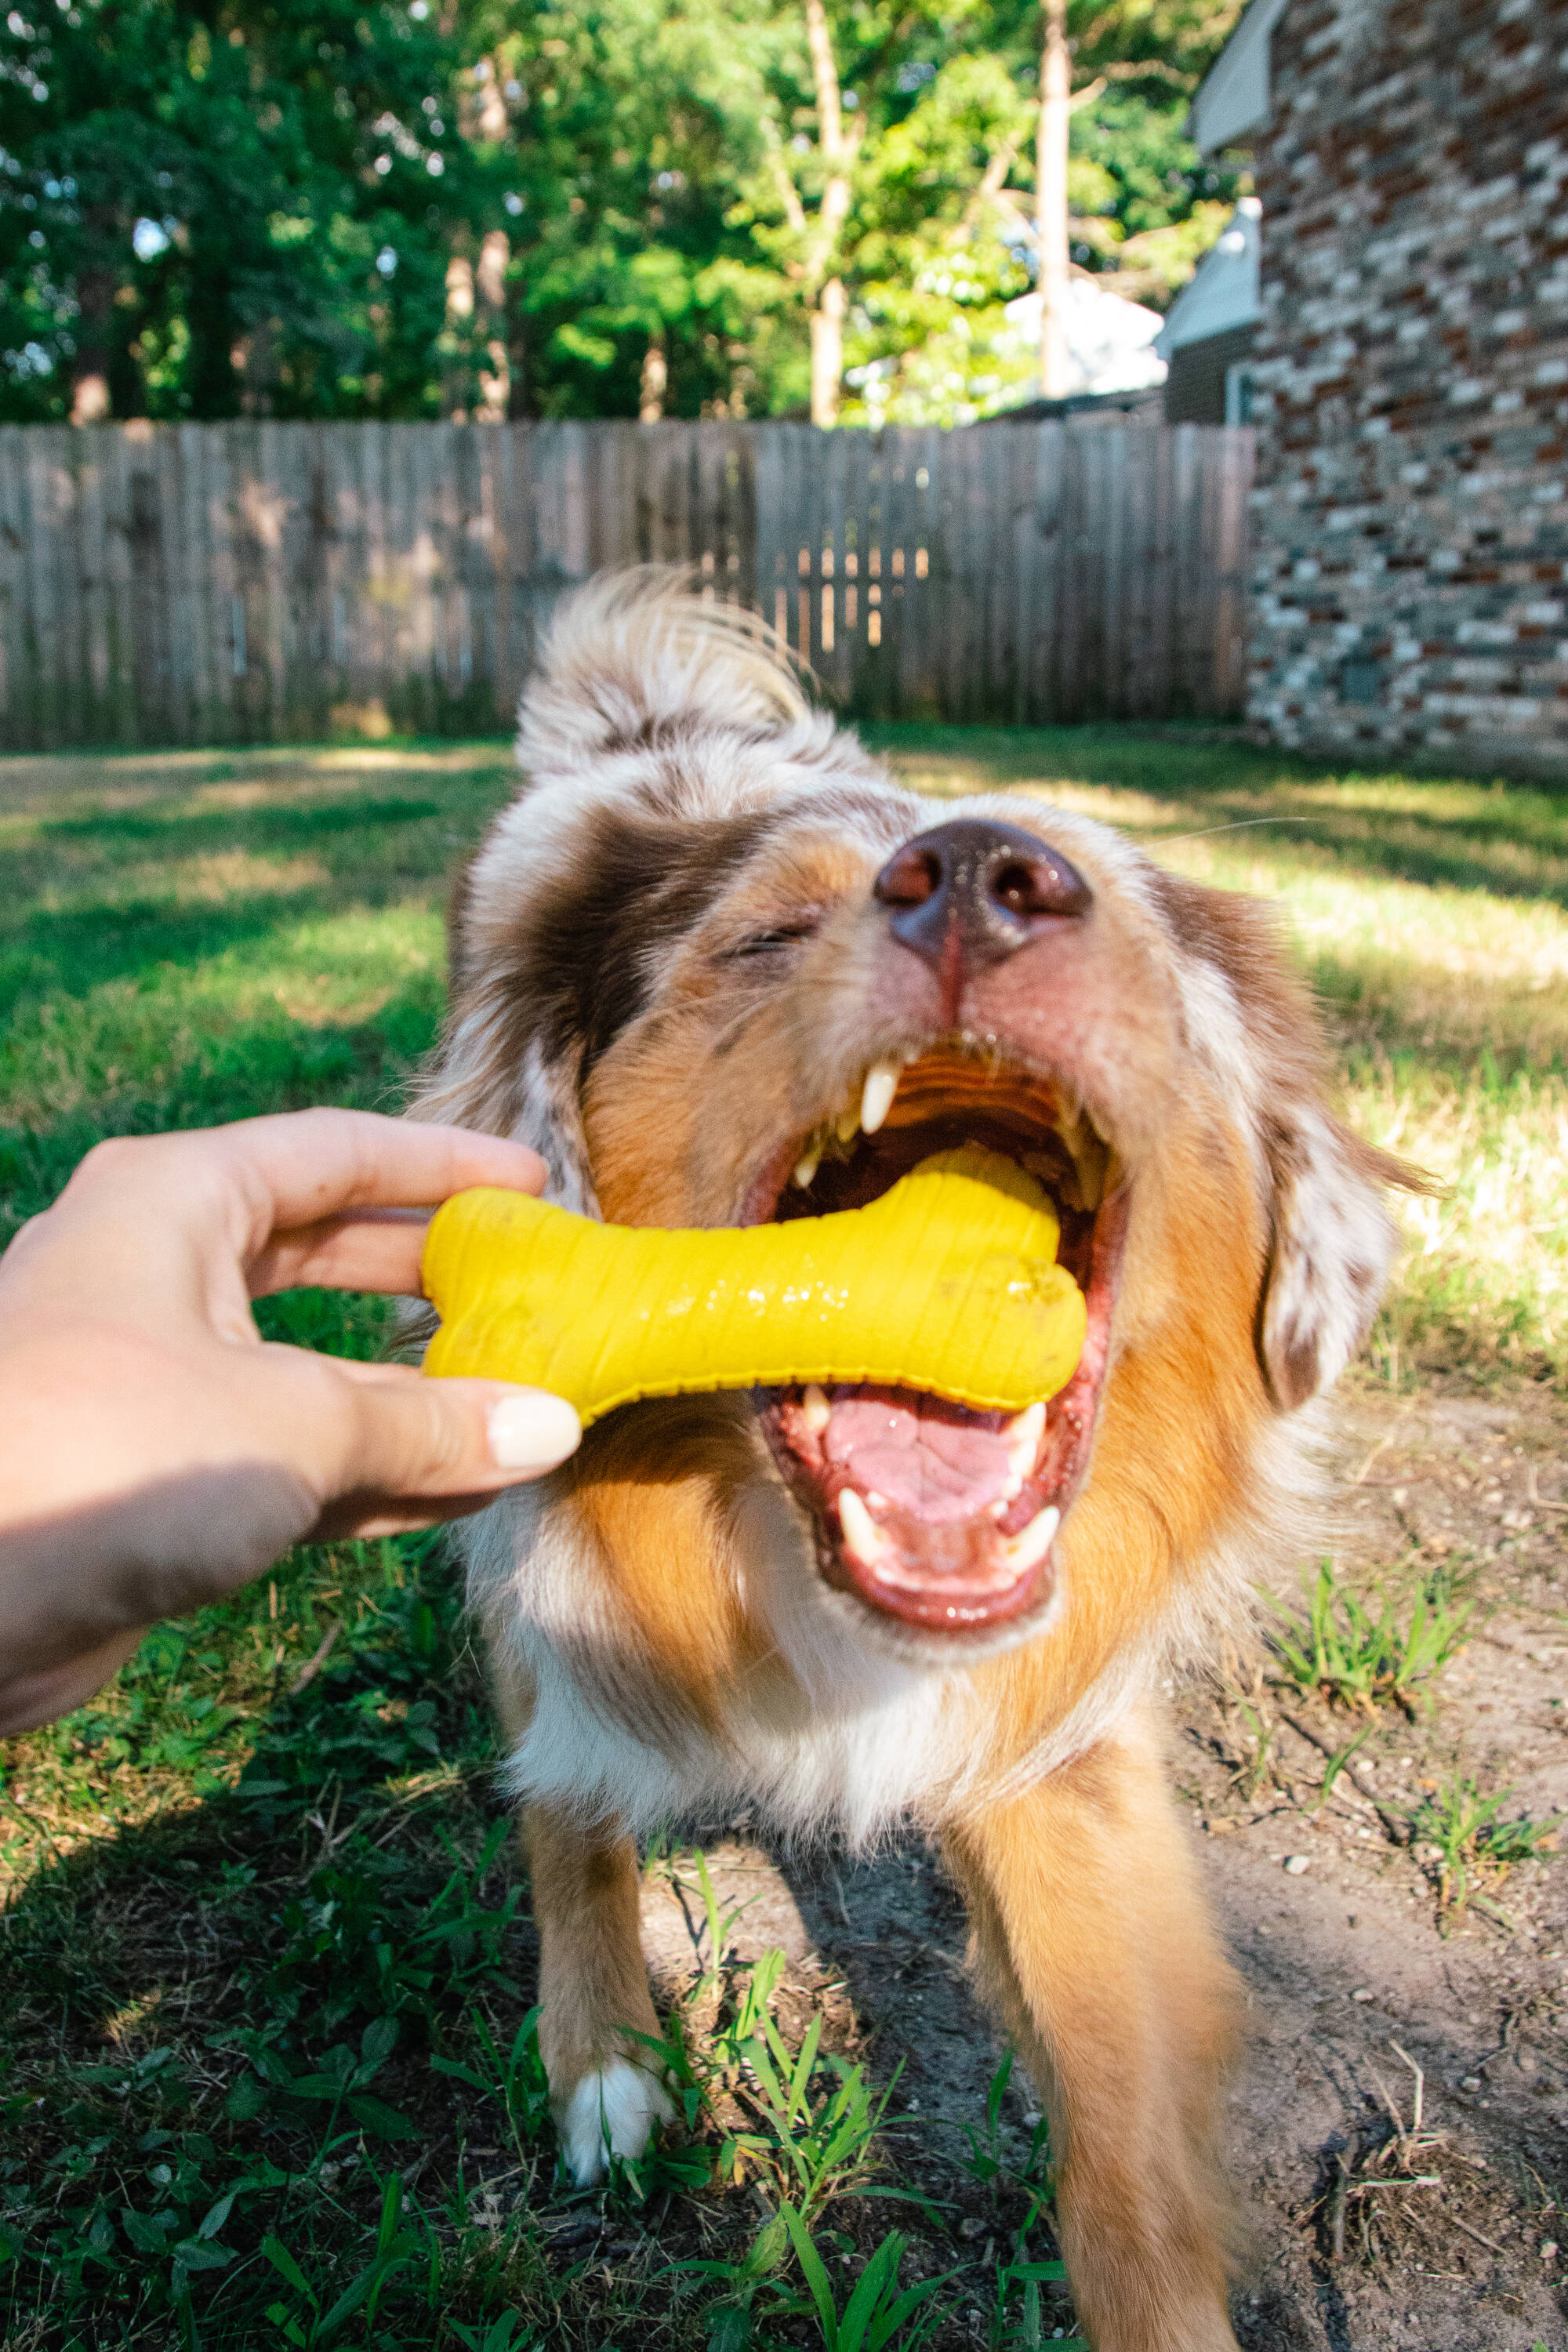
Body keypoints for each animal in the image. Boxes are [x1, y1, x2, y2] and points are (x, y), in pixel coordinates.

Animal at [413, 574, 1410, 2352]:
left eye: (1138, 925)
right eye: (761, 938)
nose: (983, 879)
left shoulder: (1053, 1726)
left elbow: (1123, 2137)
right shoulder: (544, 1565)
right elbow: (566, 1800)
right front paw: (601, 2053)